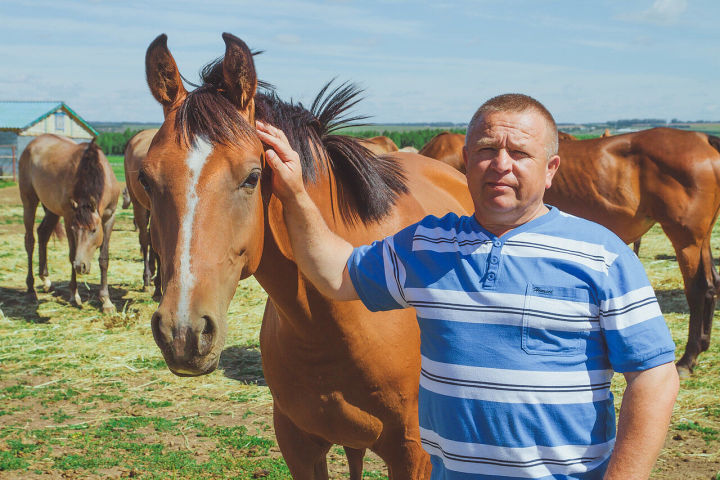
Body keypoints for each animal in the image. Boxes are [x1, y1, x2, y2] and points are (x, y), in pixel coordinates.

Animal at [18, 133, 121, 314]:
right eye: (74, 229)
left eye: (94, 230)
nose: (81, 266)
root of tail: (31, 144)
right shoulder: (68, 218)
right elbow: (72, 254)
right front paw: (74, 295)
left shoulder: (109, 217)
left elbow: (104, 259)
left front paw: (106, 301)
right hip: (29, 201)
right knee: (30, 241)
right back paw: (30, 289)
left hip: (51, 209)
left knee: (43, 233)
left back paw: (45, 279)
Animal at [544, 129, 720, 376]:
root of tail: (704, 139)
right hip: (702, 239)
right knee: (712, 284)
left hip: (687, 241)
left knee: (698, 290)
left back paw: (687, 359)